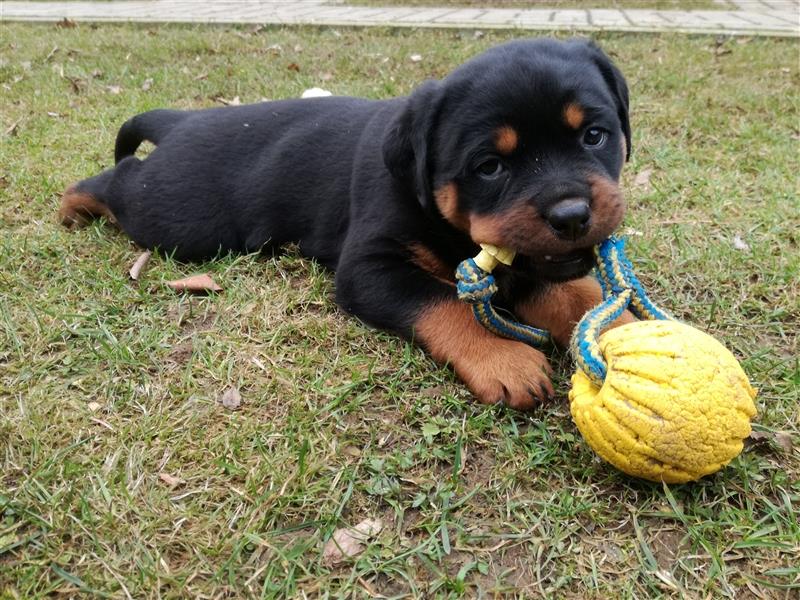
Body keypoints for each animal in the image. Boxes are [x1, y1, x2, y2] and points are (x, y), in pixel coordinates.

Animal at [59, 37, 636, 410]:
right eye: (490, 167)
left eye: (594, 136)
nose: (572, 215)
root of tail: (185, 118)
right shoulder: (370, 267)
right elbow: (444, 303)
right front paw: (504, 359)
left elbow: (578, 293)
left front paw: (632, 332)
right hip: (177, 213)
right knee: (120, 179)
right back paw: (71, 206)